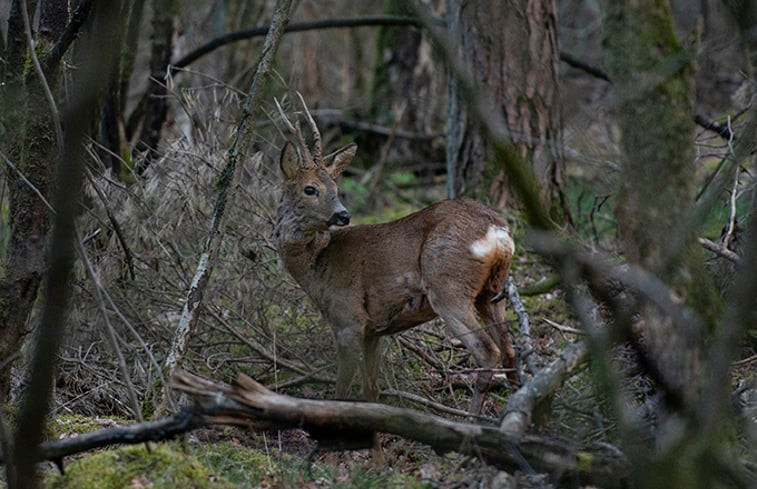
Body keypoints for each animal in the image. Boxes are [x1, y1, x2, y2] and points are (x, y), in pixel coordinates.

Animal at [274, 94, 516, 412]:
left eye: (334, 186)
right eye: (311, 189)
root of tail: (497, 230)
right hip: (492, 291)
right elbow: (372, 390)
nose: (343, 215)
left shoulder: (348, 318)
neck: (317, 267)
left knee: (488, 350)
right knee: (511, 351)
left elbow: (342, 389)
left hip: (447, 286)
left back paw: (472, 418)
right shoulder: (373, 331)